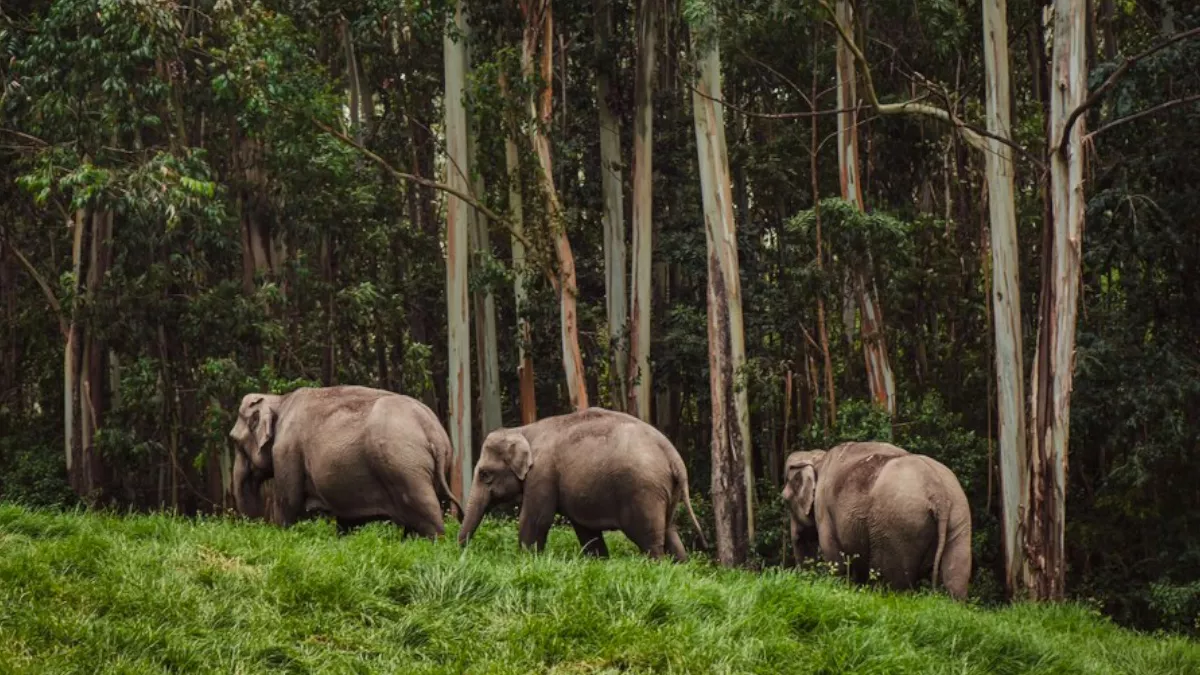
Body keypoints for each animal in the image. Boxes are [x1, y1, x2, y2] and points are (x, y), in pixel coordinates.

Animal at [226, 384, 460, 535]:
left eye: (234, 441)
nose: (254, 527)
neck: (281, 400)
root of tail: (432, 431)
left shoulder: (286, 450)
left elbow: (289, 503)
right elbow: (347, 520)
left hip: (404, 466)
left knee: (426, 513)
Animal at [456, 408, 700, 559]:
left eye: (484, 474)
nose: (461, 551)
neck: (523, 430)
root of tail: (673, 456)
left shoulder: (542, 474)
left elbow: (536, 519)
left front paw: (525, 559)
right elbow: (586, 531)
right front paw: (599, 562)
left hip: (643, 491)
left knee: (649, 539)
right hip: (665, 491)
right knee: (670, 532)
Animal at [777, 441, 974, 598]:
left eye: (784, 500)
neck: (818, 457)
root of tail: (938, 493)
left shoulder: (824, 509)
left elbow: (834, 555)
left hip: (898, 526)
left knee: (895, 580)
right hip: (959, 515)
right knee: (956, 574)